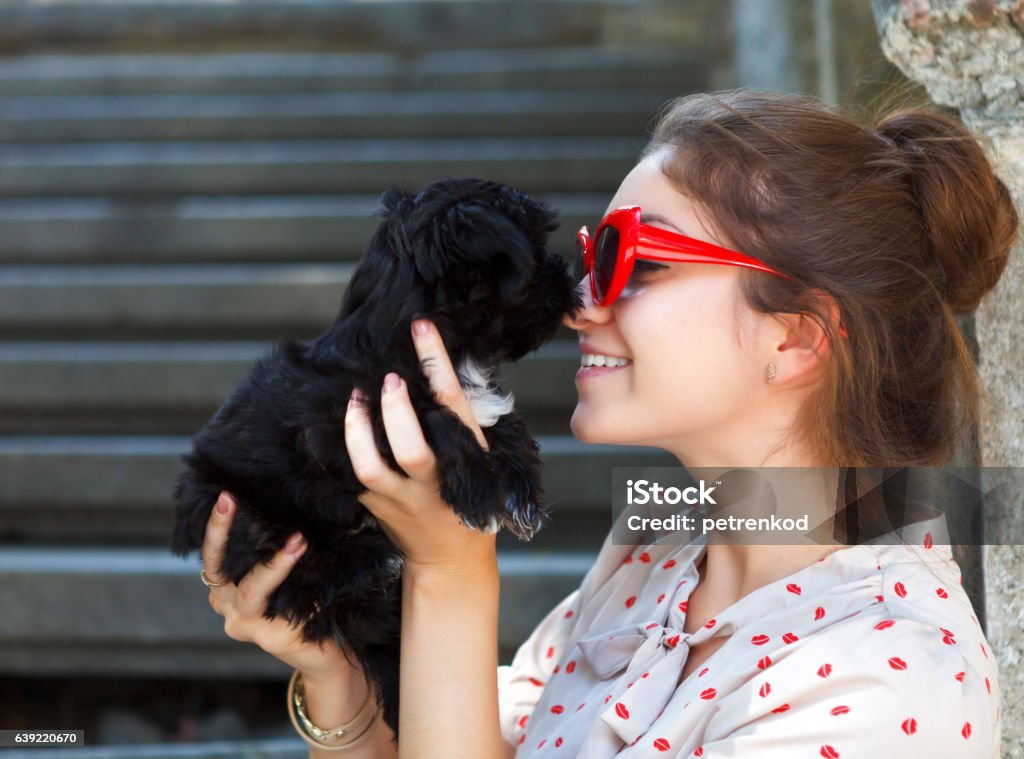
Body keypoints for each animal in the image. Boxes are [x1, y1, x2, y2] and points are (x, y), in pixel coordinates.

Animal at [172, 176, 581, 733]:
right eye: (537, 252)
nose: (571, 273)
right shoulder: (343, 424)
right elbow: (437, 418)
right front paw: (483, 490)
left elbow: (497, 417)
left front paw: (519, 483)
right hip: (237, 506)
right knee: (292, 570)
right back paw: (368, 559)